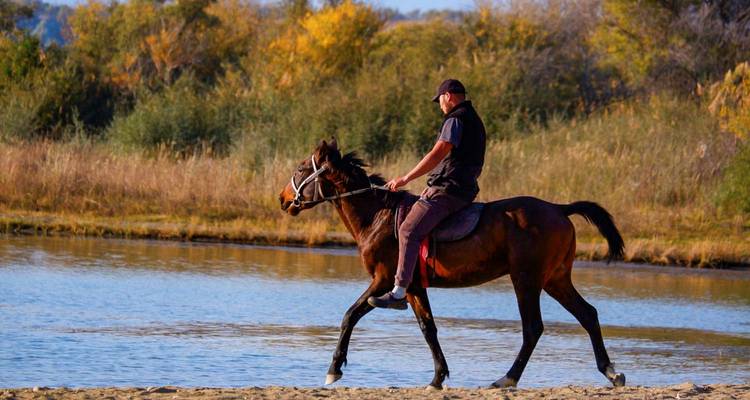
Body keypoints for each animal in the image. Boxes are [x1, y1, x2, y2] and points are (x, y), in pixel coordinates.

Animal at [278, 139, 626, 389]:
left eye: (300, 168)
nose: (283, 199)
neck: (376, 215)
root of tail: (558, 208)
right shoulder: (414, 286)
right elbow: (428, 328)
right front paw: (437, 378)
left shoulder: (384, 279)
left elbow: (350, 315)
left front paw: (334, 369)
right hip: (555, 279)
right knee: (588, 314)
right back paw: (611, 372)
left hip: (526, 279)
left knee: (533, 328)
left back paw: (507, 378)